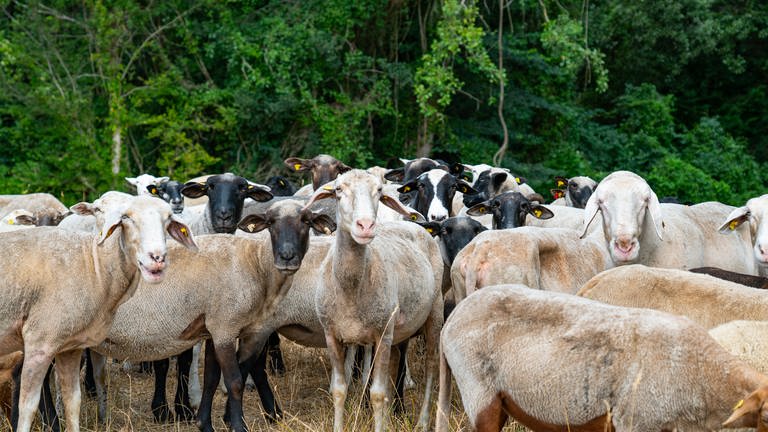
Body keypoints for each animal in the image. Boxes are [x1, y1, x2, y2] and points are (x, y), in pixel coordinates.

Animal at [0, 194, 198, 430]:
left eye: (168, 219)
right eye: (127, 218)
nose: (157, 258)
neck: (93, 264)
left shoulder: (70, 347)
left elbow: (73, 401)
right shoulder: (39, 343)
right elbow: (28, 408)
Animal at [87, 200, 332, 432]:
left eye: (306, 222)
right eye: (270, 223)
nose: (287, 257)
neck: (255, 264)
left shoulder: (217, 329)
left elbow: (212, 380)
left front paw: (204, 424)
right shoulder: (224, 328)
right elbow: (234, 382)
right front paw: (238, 426)